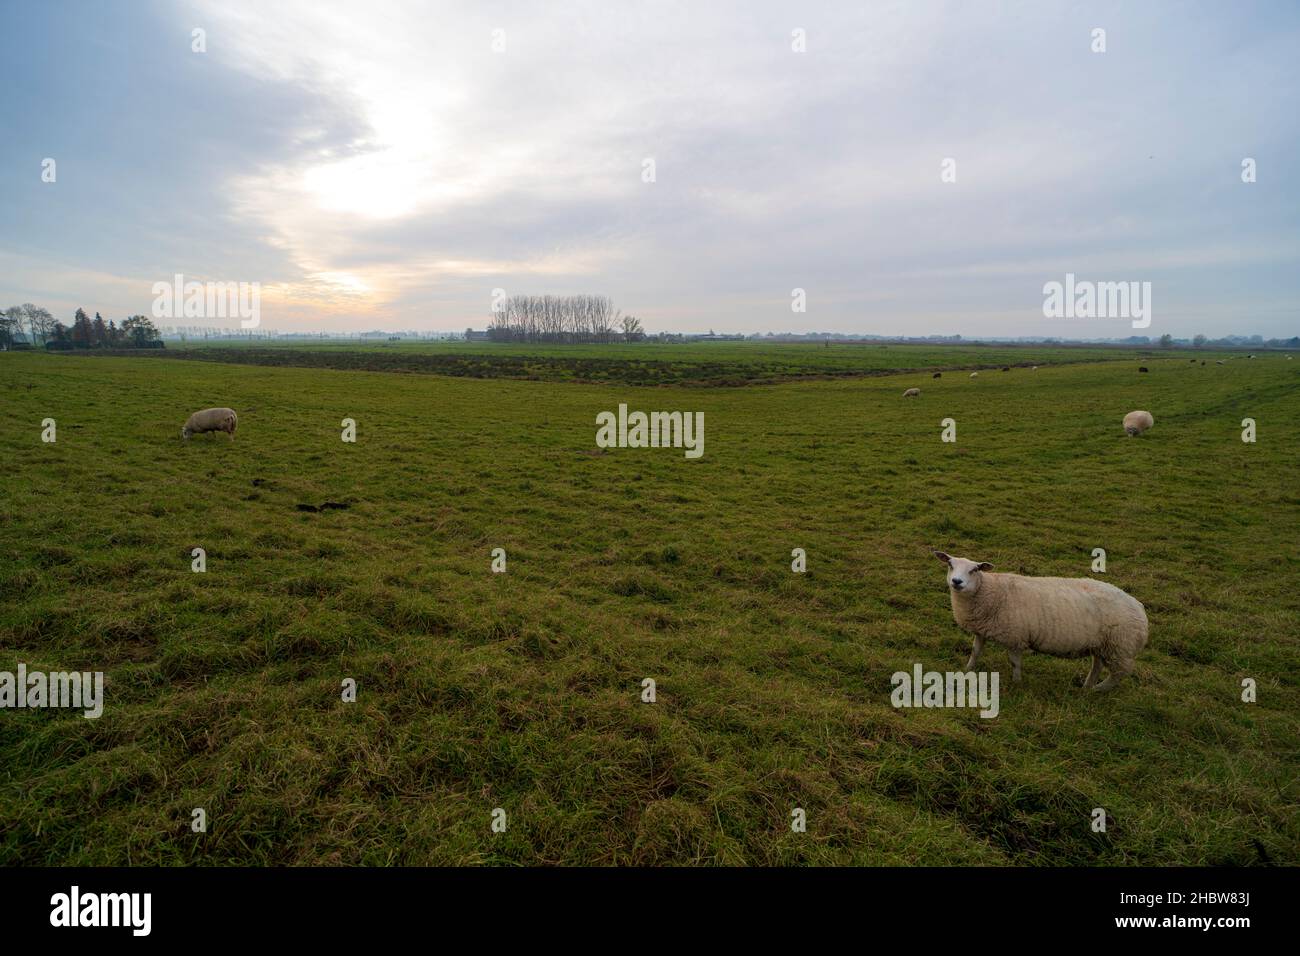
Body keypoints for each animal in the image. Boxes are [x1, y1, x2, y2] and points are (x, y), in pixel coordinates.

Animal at [935, 548, 1149, 691]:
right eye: (950, 565)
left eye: (975, 570)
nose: (956, 582)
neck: (990, 591)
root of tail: (1139, 606)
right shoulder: (982, 630)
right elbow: (975, 652)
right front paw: (967, 669)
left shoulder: (1015, 637)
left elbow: (1015, 663)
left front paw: (1016, 683)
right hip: (1103, 645)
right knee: (1097, 665)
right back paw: (1086, 688)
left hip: (1121, 647)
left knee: (1118, 675)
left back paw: (1098, 689)